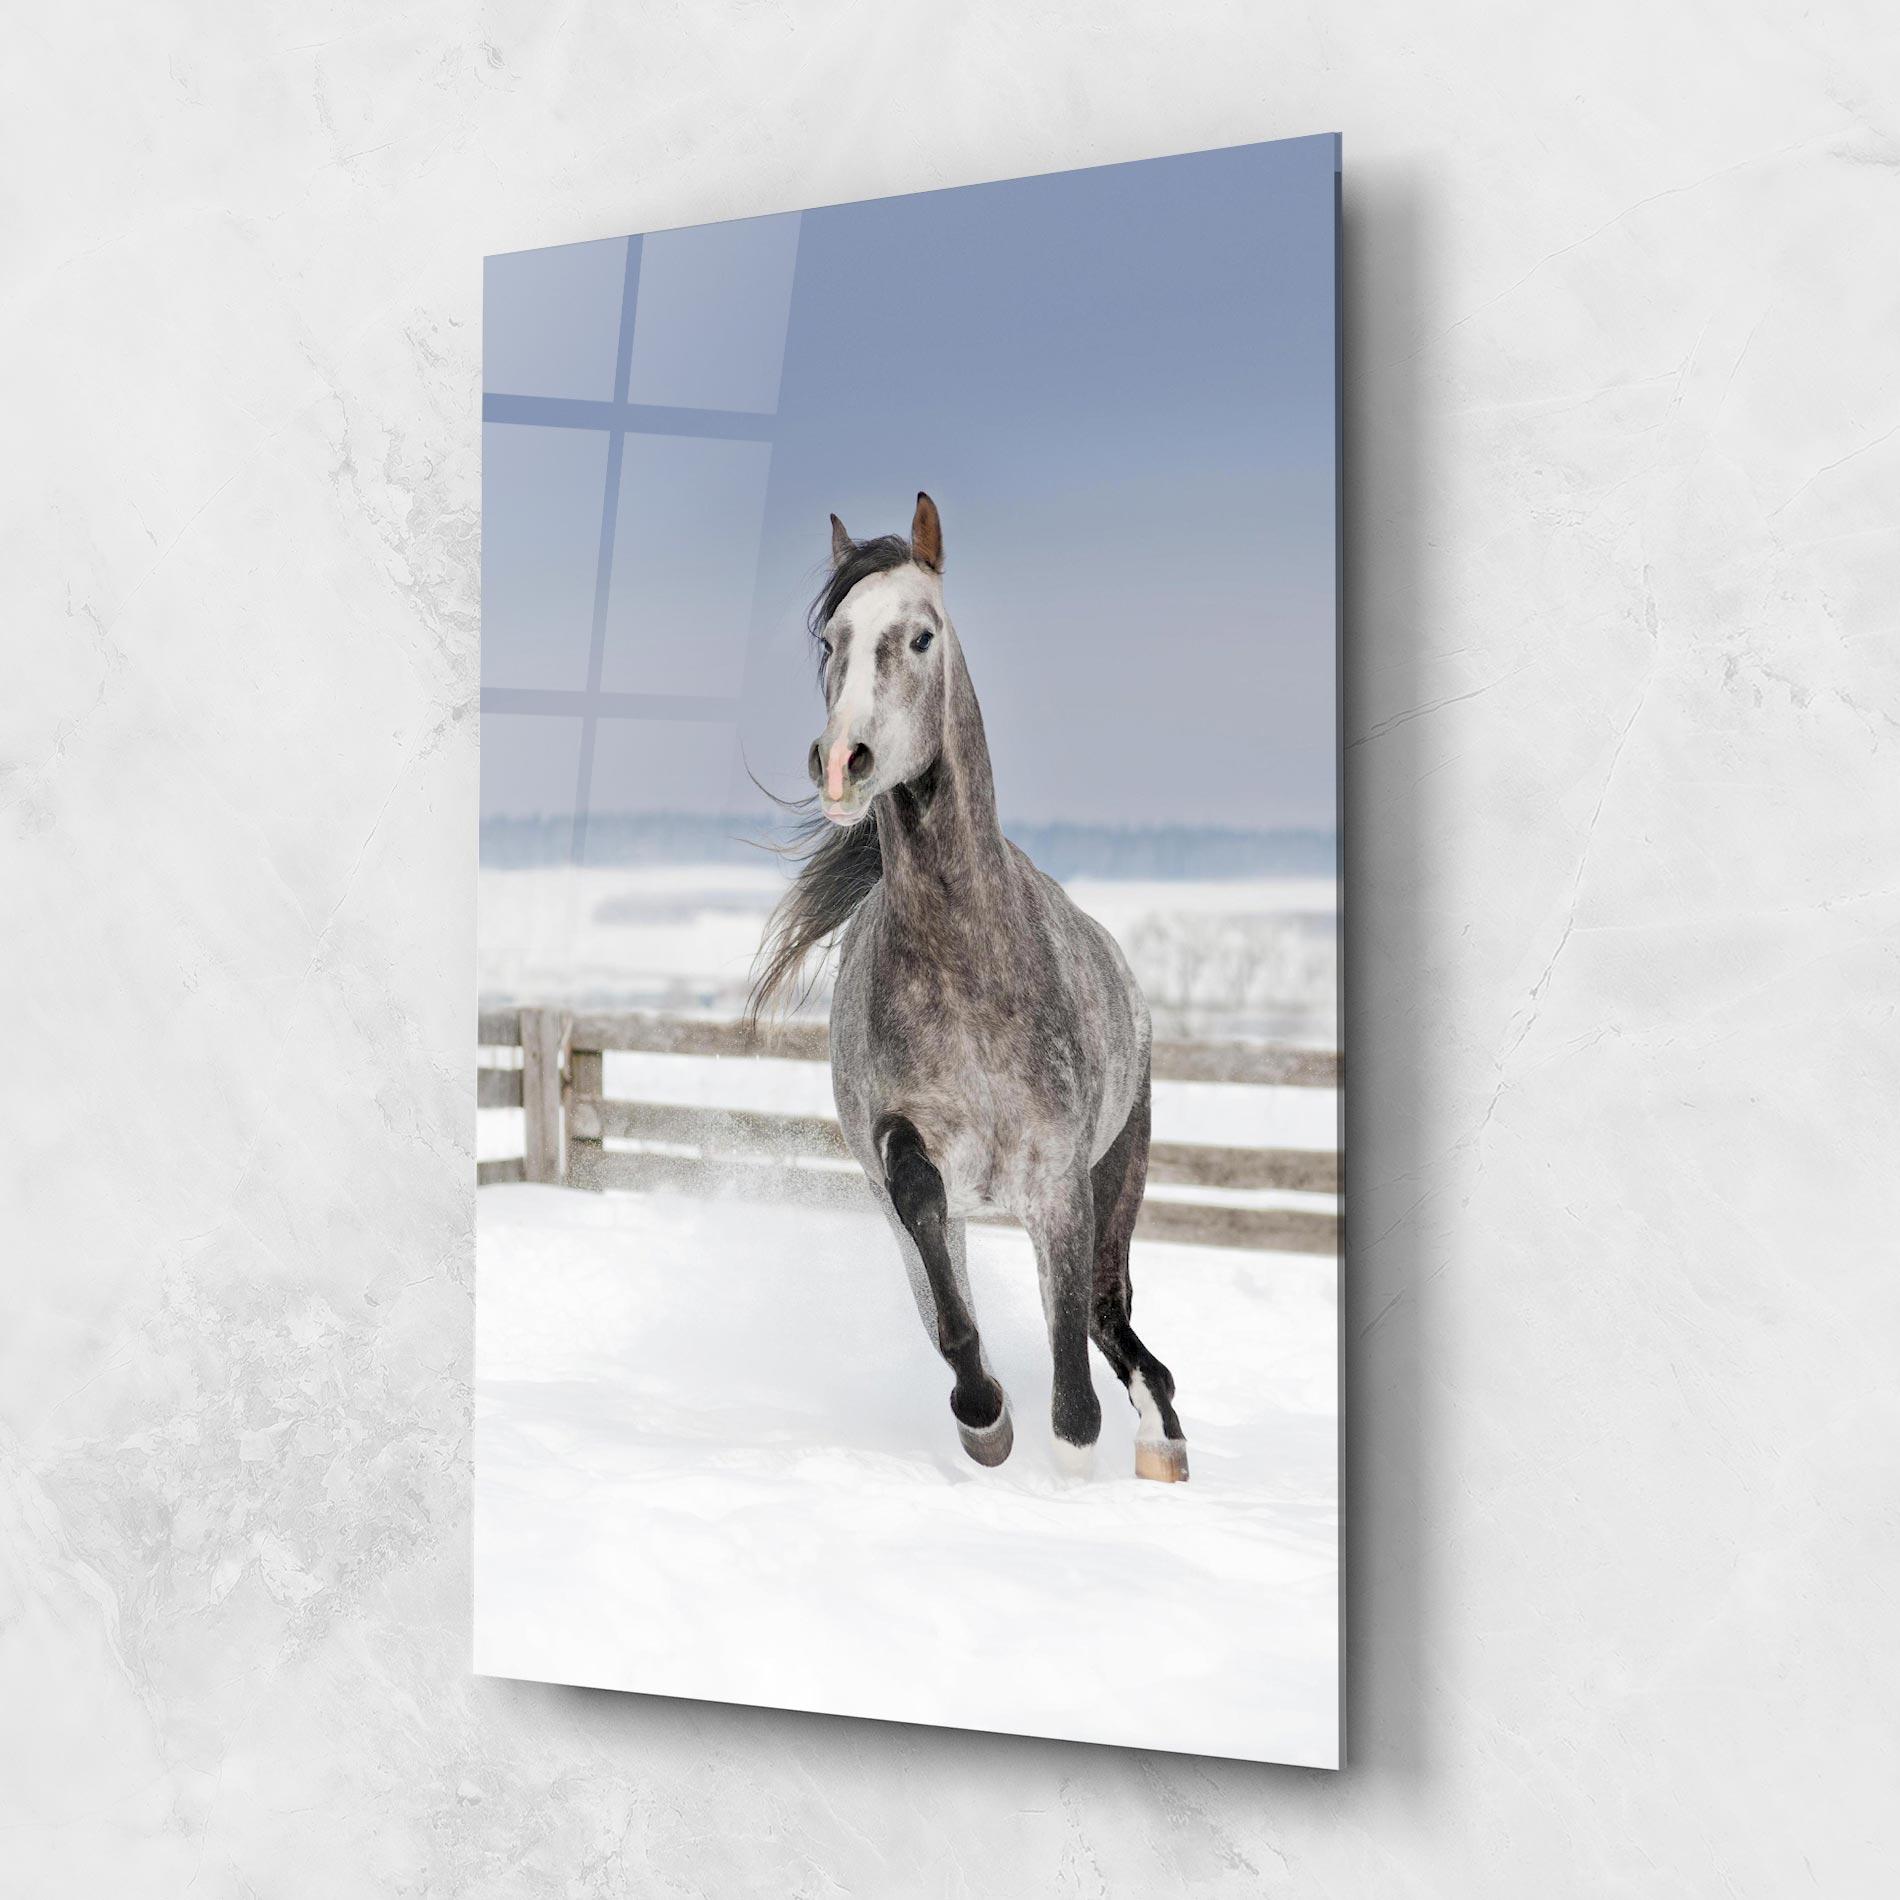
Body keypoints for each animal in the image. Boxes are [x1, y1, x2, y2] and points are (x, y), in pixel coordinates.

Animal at [748, 493, 1189, 1483]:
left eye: (921, 636)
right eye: (831, 638)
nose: (843, 762)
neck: (968, 970)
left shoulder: (1059, 1186)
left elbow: (1074, 1390)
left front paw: (1070, 1459)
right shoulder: (906, 1165)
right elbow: (944, 1282)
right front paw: (985, 1418)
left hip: (1118, 1177)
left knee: (1108, 1315)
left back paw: (1162, 1444)